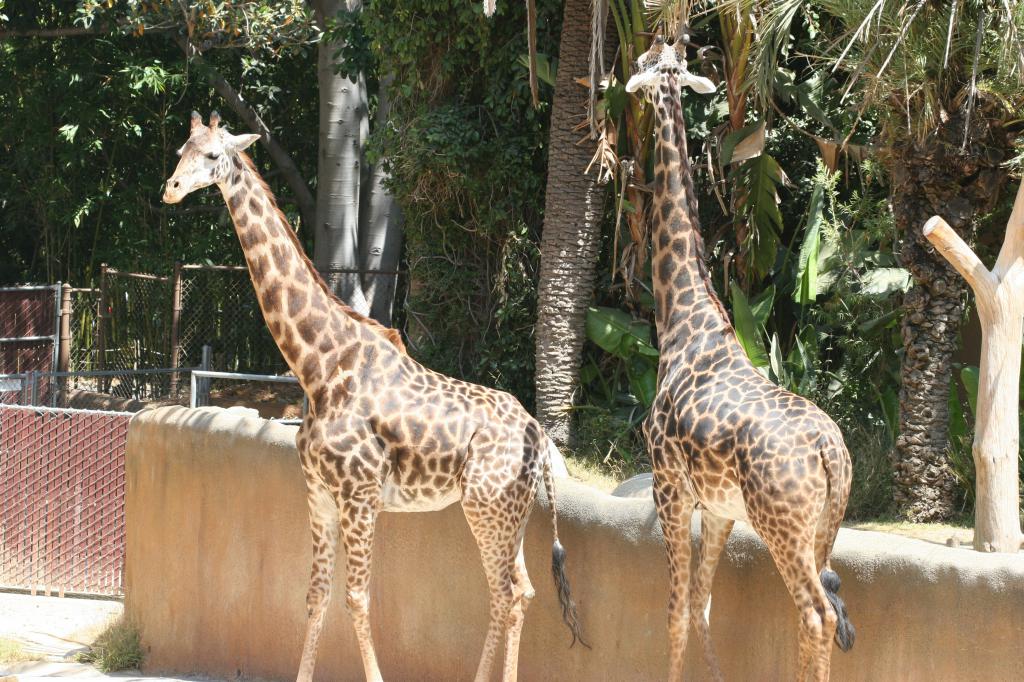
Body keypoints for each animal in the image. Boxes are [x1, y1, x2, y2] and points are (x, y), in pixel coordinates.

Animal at [162, 112, 585, 682]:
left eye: (211, 156)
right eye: (181, 149)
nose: (171, 188)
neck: (316, 366)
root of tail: (538, 436)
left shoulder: (359, 496)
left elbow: (358, 599)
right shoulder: (318, 494)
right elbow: (316, 595)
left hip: (487, 508)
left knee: (506, 593)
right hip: (507, 513)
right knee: (522, 590)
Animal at [624, 38, 856, 681]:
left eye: (646, 64)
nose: (618, 84)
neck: (682, 318)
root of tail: (831, 451)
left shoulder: (667, 483)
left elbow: (675, 610)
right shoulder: (719, 508)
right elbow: (701, 606)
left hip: (782, 525)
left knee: (815, 615)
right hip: (822, 527)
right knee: (822, 615)